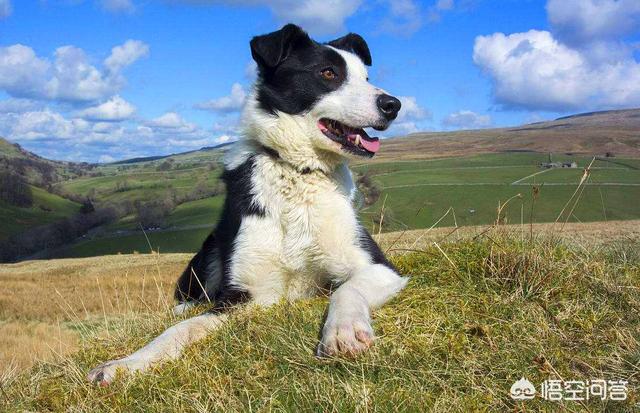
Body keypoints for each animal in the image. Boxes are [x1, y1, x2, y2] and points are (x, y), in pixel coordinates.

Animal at [87, 24, 404, 384]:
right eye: (328, 73)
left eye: (366, 77)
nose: (393, 104)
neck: (296, 172)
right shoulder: (245, 295)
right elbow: (180, 330)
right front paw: (126, 363)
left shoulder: (377, 266)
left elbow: (346, 290)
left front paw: (343, 331)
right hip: (213, 244)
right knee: (194, 299)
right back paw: (185, 306)